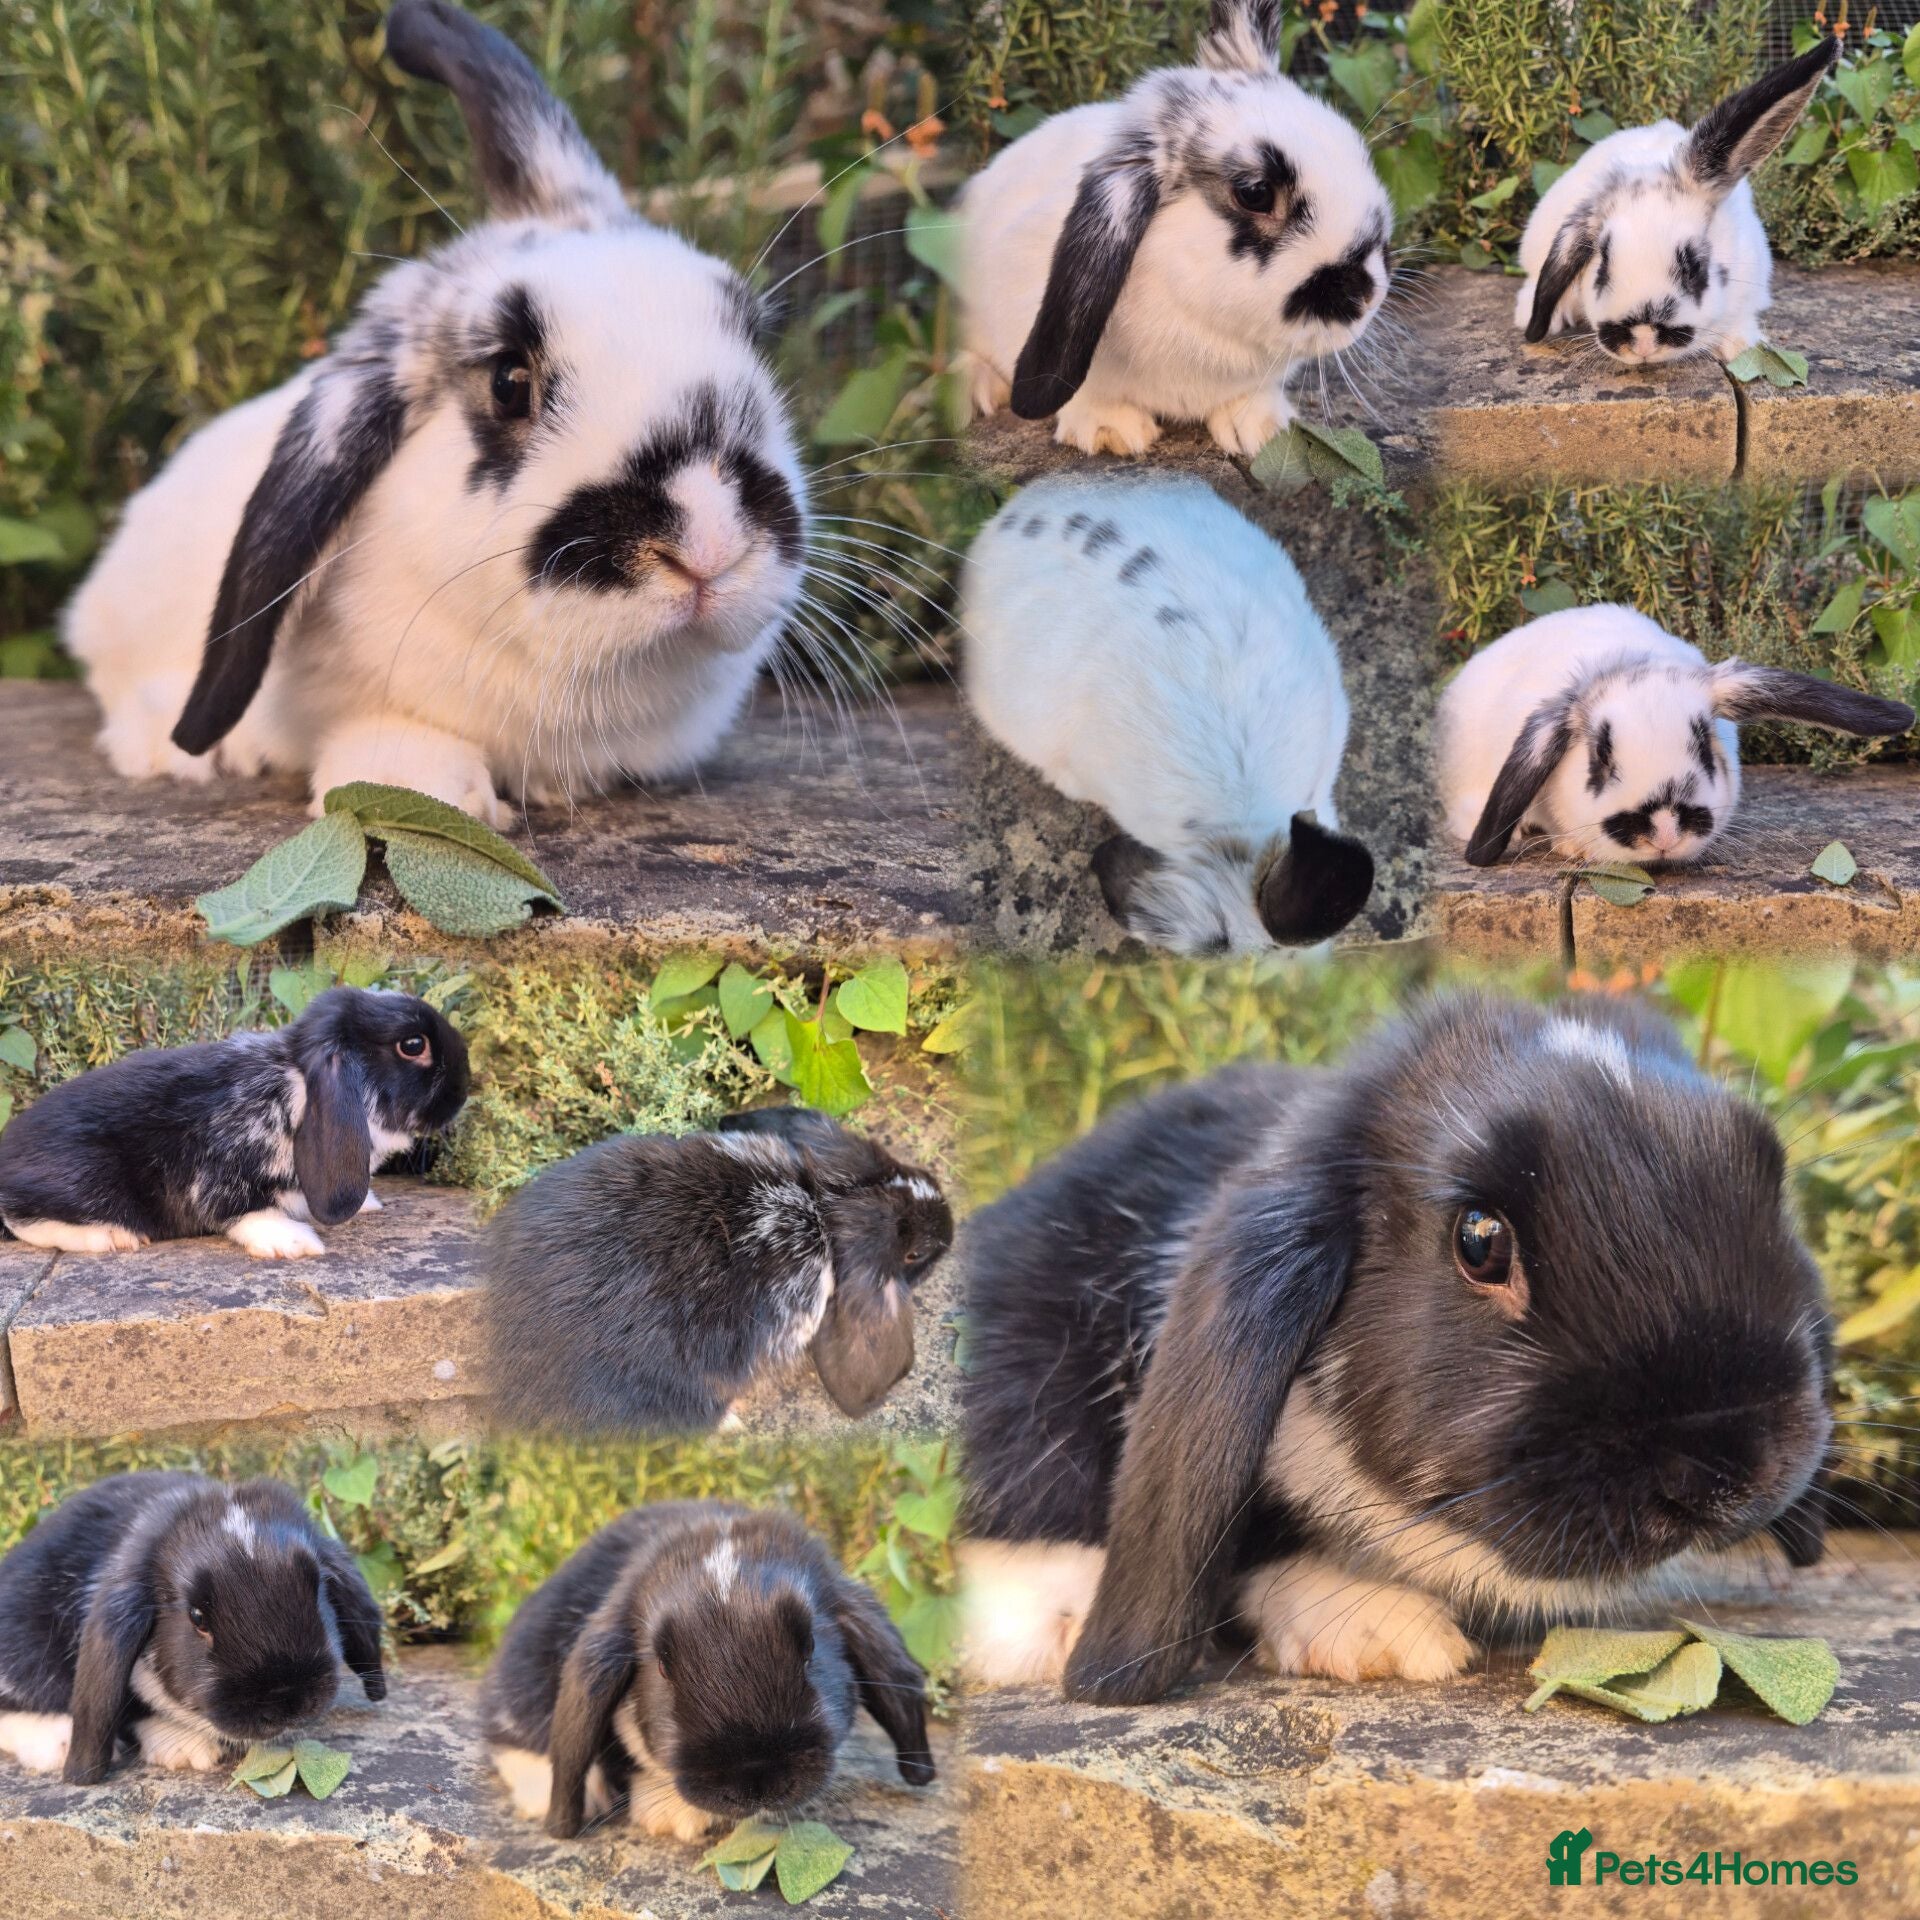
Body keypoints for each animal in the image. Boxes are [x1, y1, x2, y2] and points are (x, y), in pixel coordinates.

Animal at [0, 986, 469, 1261]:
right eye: (413, 1045)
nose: (463, 1091)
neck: (293, 1086)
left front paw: (368, 1203)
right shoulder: (219, 1173)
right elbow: (242, 1210)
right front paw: (294, 1241)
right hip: (84, 1178)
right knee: (21, 1217)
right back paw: (112, 1236)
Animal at [958, 0, 1397, 456]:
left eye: (1357, 151)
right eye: (1255, 193)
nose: (1369, 294)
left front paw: (1262, 431)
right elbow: (1086, 393)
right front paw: (1110, 432)